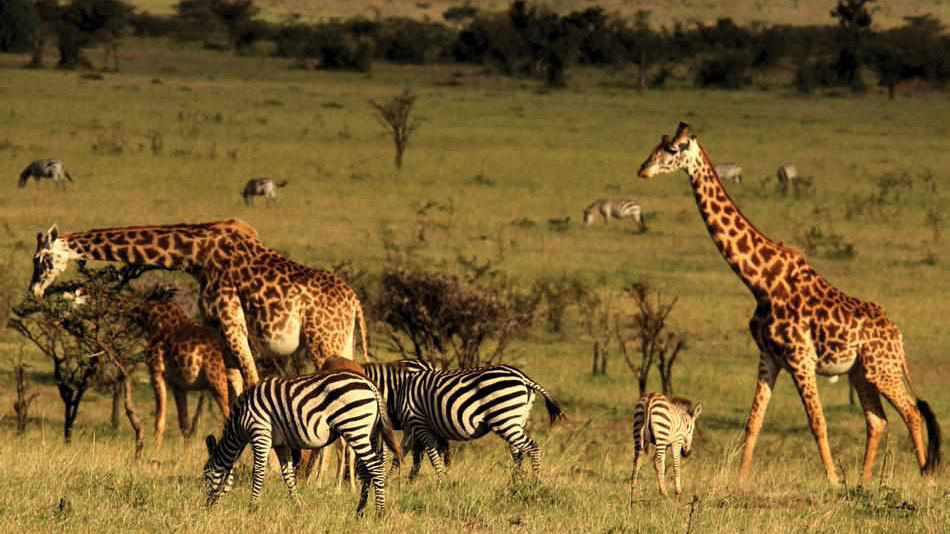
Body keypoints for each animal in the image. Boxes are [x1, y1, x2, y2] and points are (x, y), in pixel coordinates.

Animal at [27, 220, 370, 392]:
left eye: (41, 259)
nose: (34, 290)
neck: (196, 254)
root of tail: (355, 301)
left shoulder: (231, 321)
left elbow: (252, 381)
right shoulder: (219, 329)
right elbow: (235, 385)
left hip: (322, 341)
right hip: (343, 340)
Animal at [205, 370, 402, 516]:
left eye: (206, 476)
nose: (205, 508)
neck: (240, 421)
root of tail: (370, 385)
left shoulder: (260, 433)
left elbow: (258, 472)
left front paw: (252, 508)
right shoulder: (280, 444)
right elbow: (288, 475)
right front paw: (299, 506)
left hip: (355, 428)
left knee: (376, 467)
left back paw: (379, 513)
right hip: (369, 432)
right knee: (367, 470)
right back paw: (359, 511)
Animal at [396, 364, 564, 482]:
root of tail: (524, 378)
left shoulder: (417, 421)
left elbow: (424, 453)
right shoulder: (418, 427)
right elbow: (413, 451)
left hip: (504, 418)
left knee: (532, 447)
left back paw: (535, 483)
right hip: (518, 419)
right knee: (518, 452)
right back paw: (517, 482)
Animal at [636, 123, 940, 488]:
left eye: (673, 149)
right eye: (658, 145)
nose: (643, 170)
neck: (760, 281)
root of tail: (898, 336)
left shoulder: (800, 358)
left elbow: (817, 421)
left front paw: (832, 481)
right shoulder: (769, 356)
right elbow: (753, 421)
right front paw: (741, 480)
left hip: (883, 369)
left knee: (911, 411)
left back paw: (925, 476)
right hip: (860, 373)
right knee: (877, 419)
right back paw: (865, 481)